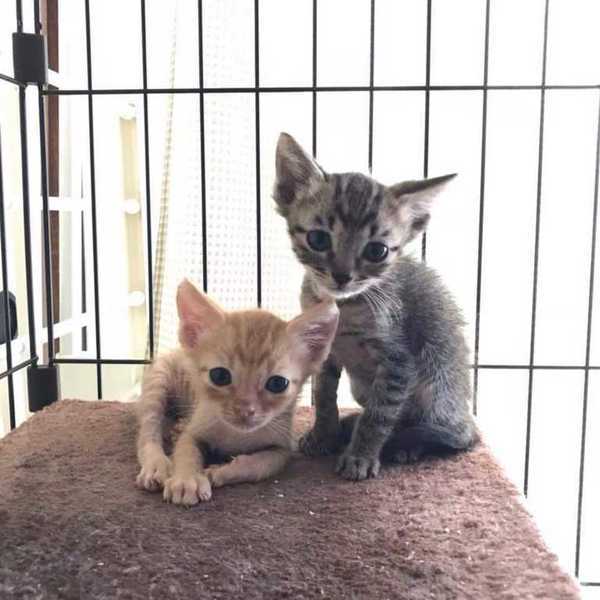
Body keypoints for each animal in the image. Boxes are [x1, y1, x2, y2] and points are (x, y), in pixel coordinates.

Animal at [136, 279, 339, 505]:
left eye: (278, 383)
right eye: (219, 376)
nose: (244, 410)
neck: (236, 435)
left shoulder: (282, 448)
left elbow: (260, 464)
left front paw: (221, 471)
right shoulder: (195, 429)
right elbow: (186, 450)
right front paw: (187, 479)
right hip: (157, 382)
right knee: (149, 430)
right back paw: (157, 463)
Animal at [273, 132, 478, 481]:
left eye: (377, 251)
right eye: (318, 239)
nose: (342, 276)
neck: (344, 308)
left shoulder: (399, 361)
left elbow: (380, 415)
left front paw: (361, 456)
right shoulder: (324, 352)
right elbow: (324, 397)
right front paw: (324, 435)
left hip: (436, 374)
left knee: (455, 435)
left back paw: (406, 444)